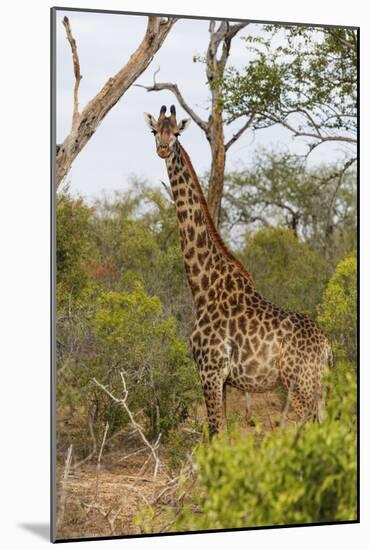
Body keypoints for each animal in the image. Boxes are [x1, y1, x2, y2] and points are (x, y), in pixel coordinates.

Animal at [144, 104, 334, 440]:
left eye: (176, 132)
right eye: (155, 130)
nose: (163, 148)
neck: (203, 287)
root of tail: (326, 346)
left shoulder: (210, 370)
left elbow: (216, 434)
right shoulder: (223, 380)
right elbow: (220, 434)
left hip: (301, 385)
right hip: (317, 387)